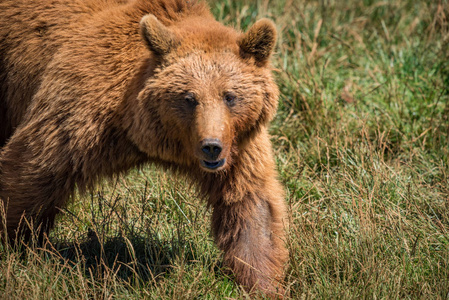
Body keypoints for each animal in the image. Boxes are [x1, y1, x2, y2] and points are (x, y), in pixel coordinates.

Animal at [0, 0, 288, 296]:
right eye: (189, 98)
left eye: (230, 96)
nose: (212, 147)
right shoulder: (79, 112)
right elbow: (33, 168)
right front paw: (20, 246)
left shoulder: (238, 145)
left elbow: (251, 205)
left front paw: (262, 282)